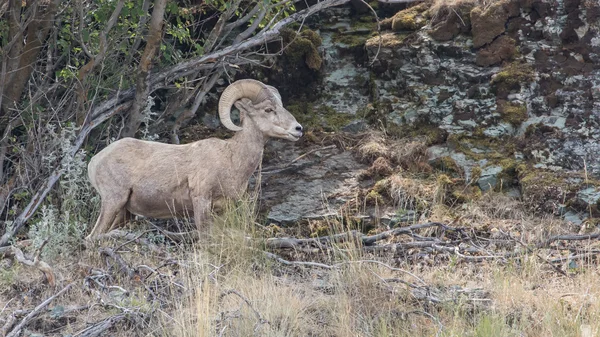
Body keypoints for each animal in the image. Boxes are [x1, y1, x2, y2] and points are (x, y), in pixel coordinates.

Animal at [86, 79, 302, 239]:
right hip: (113, 202)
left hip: (123, 213)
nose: (298, 129)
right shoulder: (201, 201)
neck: (231, 159)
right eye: (268, 110)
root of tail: (94, 162)